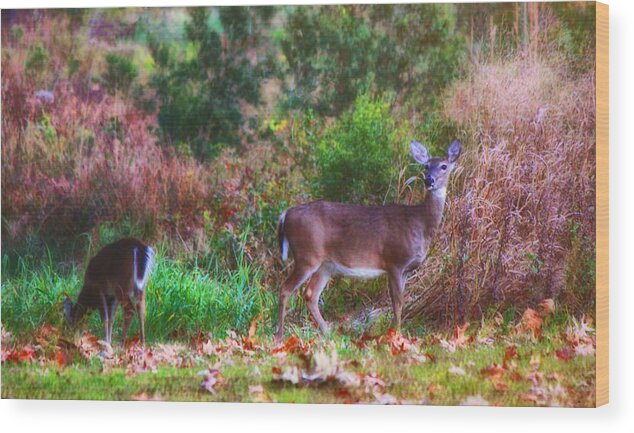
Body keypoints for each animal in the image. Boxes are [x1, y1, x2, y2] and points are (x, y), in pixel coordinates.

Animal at [272, 138, 460, 340]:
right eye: (426, 166)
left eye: (443, 166)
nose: (429, 180)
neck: (419, 223)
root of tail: (286, 214)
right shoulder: (394, 261)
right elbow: (397, 302)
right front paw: (395, 334)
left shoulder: (405, 270)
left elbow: (400, 301)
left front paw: (395, 332)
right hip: (307, 255)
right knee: (285, 288)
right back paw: (280, 335)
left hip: (325, 264)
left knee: (310, 294)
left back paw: (328, 333)